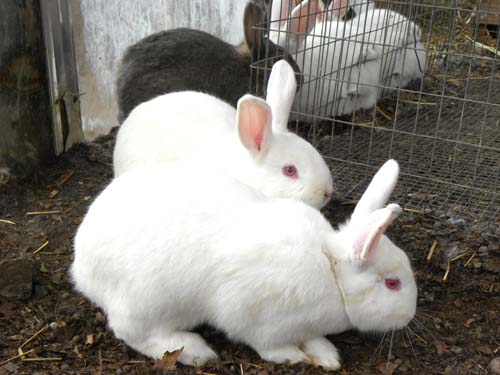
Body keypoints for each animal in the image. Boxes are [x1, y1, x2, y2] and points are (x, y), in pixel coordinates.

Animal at [72, 159, 418, 370]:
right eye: (392, 283)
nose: (410, 316)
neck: (331, 269)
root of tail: (81, 265)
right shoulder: (256, 319)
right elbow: (269, 346)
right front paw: (295, 357)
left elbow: (313, 338)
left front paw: (326, 355)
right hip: (149, 302)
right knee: (133, 332)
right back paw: (195, 350)